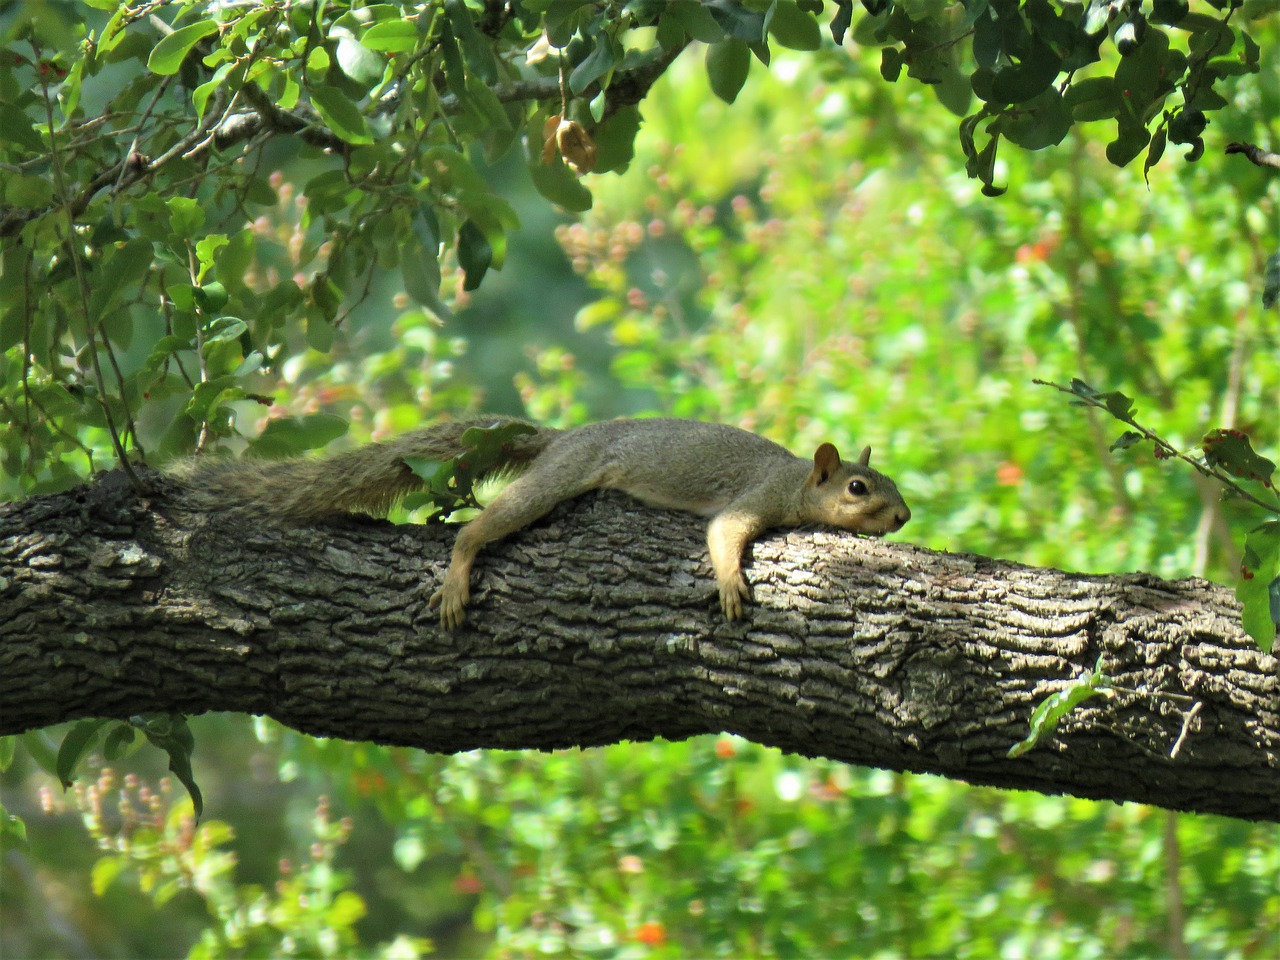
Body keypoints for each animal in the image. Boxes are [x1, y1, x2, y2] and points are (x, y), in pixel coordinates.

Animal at [180, 414, 916, 627]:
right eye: (858, 487)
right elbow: (722, 534)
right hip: (560, 479)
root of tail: (566, 438)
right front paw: (732, 583)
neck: (794, 479)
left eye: (893, 484)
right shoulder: (754, 496)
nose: (906, 514)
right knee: (475, 530)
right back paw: (458, 573)